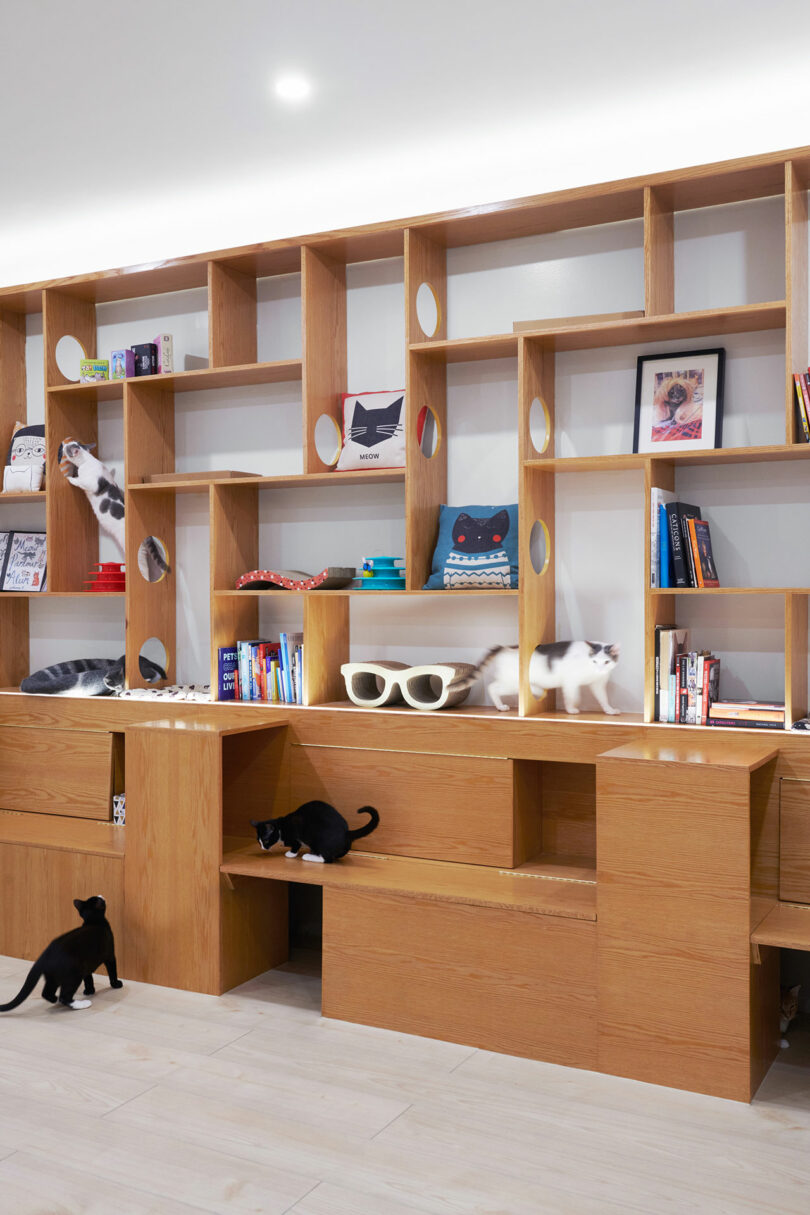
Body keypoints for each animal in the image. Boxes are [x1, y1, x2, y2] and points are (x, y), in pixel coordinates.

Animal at [250, 797, 381, 865]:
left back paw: (309, 856)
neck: (281, 827)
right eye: (258, 841)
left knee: (327, 859)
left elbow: (295, 845)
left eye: (265, 841)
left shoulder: (295, 837)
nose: (263, 848)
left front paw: (291, 854)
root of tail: (346, 832)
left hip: (317, 839)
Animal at [449, 641, 621, 714]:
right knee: (493, 687)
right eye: (594, 661)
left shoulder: (598, 684)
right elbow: (572, 695)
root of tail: (506, 647)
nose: (599, 669)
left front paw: (609, 710)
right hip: (513, 683)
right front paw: (572, 709)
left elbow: (603, 698)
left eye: (606, 662)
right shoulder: (570, 681)